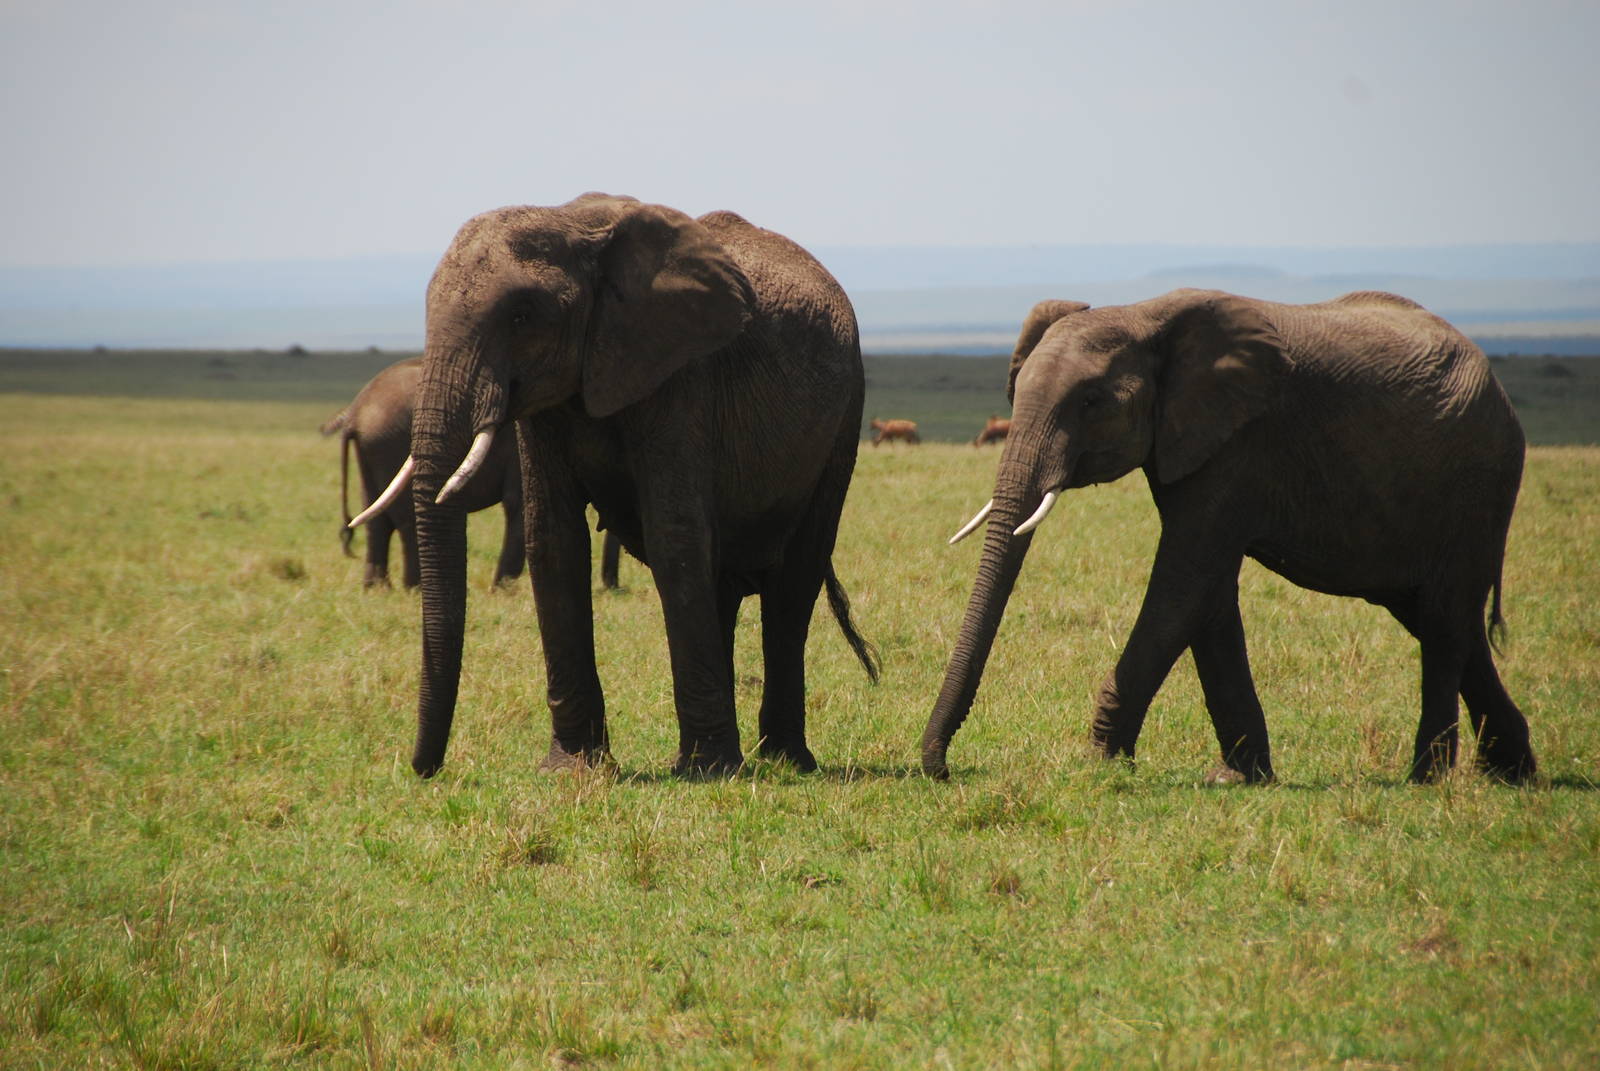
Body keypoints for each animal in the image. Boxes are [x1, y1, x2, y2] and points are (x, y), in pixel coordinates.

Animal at [351, 193, 878, 778]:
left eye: (521, 315)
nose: (424, 769)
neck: (574, 224)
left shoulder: (681, 374)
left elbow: (674, 538)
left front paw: (706, 774)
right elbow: (553, 541)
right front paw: (573, 770)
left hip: (844, 415)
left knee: (794, 581)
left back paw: (782, 761)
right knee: (722, 583)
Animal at [923, 289, 1535, 786]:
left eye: (1092, 402)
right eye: (1015, 392)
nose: (943, 769)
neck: (1144, 316)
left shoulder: (1241, 441)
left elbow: (1183, 582)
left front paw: (1099, 765)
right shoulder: (1195, 442)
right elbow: (1208, 594)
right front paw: (1239, 778)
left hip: (1478, 483)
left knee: (1445, 617)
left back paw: (1427, 779)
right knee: (1441, 618)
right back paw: (1511, 774)